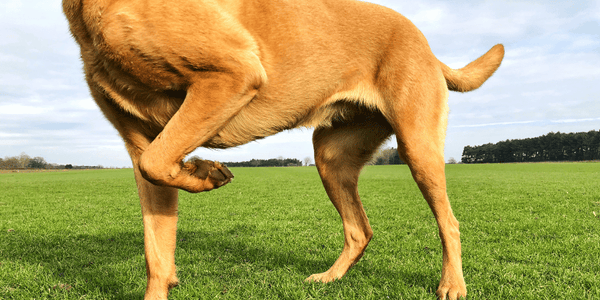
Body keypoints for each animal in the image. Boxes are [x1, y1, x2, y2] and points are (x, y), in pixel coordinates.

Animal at [62, 0, 502, 298]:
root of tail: (428, 47)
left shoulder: (232, 73)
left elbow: (157, 164)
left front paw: (205, 172)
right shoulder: (140, 142)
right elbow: (156, 247)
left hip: (417, 146)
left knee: (449, 222)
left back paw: (452, 284)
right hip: (331, 157)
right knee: (359, 230)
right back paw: (329, 278)